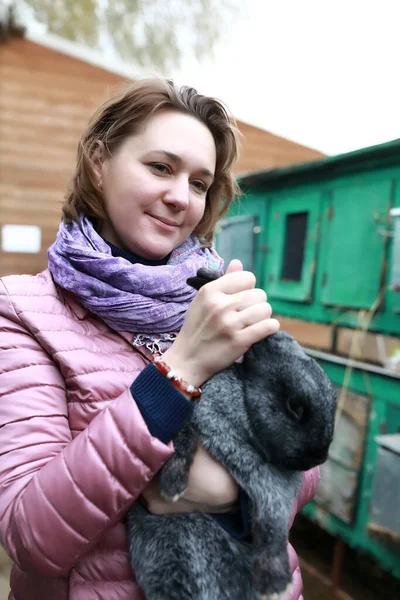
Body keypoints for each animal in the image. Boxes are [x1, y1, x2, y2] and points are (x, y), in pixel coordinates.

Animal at [126, 270, 336, 596]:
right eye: (296, 406)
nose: (317, 458)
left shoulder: (274, 483)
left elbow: (273, 518)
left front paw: (273, 581)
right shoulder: (195, 417)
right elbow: (181, 443)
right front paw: (173, 487)